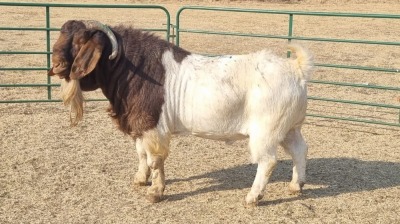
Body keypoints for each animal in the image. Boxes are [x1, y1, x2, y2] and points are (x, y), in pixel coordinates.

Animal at [49, 20, 312, 206]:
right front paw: (140, 179)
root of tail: (296, 68)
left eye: (80, 40)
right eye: (61, 36)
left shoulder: (153, 127)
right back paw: (296, 185)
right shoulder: (140, 125)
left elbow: (155, 160)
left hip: (266, 131)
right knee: (300, 149)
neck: (133, 68)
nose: (57, 66)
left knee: (267, 161)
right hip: (289, 128)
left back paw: (253, 197)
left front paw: (155, 192)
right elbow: (141, 154)